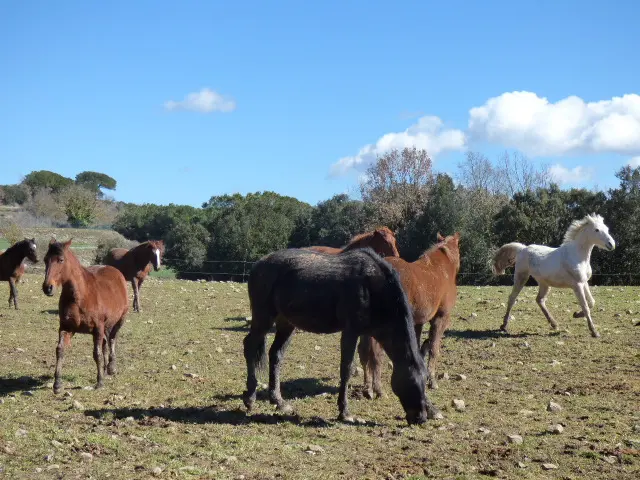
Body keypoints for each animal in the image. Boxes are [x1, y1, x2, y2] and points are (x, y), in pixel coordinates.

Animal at [43, 239, 129, 394]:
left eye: (61, 259)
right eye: (45, 259)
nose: (48, 287)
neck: (80, 296)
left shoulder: (98, 328)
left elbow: (97, 354)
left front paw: (99, 382)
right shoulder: (66, 328)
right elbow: (60, 350)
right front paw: (57, 384)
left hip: (119, 320)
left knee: (112, 339)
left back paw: (111, 368)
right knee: (106, 343)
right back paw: (105, 369)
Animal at [243, 247, 441, 425]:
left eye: (424, 382)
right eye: (411, 382)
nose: (420, 418)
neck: (373, 288)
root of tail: (258, 265)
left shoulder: (367, 334)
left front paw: (433, 409)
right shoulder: (351, 331)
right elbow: (347, 369)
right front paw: (344, 411)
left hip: (286, 323)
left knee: (275, 355)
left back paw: (278, 401)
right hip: (264, 317)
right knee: (250, 346)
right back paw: (250, 398)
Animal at [357, 233, 461, 398]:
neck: (441, 269)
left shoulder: (417, 322)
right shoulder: (441, 318)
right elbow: (434, 348)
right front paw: (432, 380)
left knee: (364, 351)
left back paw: (368, 388)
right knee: (376, 354)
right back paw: (378, 389)